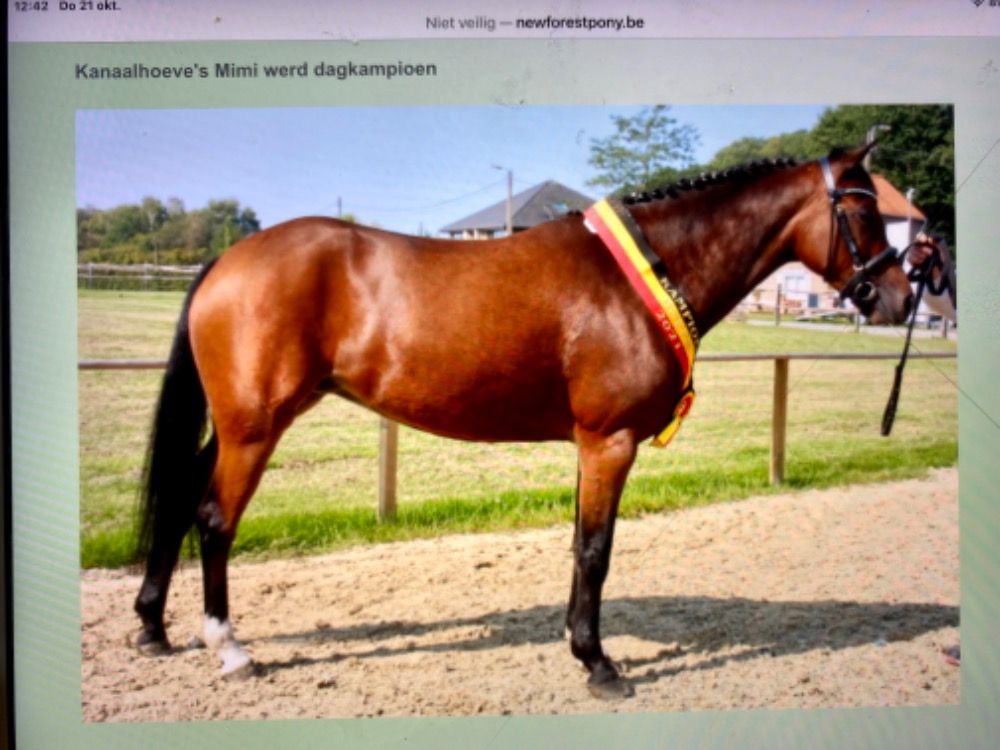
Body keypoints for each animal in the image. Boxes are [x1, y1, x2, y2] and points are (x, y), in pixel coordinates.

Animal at [133, 144, 913, 698]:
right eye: (863, 211)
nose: (901, 297)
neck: (642, 276)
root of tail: (227, 261)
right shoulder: (609, 443)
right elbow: (596, 551)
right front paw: (598, 664)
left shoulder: (588, 447)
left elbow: (578, 545)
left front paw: (578, 644)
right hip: (254, 430)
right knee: (213, 519)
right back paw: (229, 647)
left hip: (235, 428)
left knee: (178, 498)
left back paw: (152, 627)